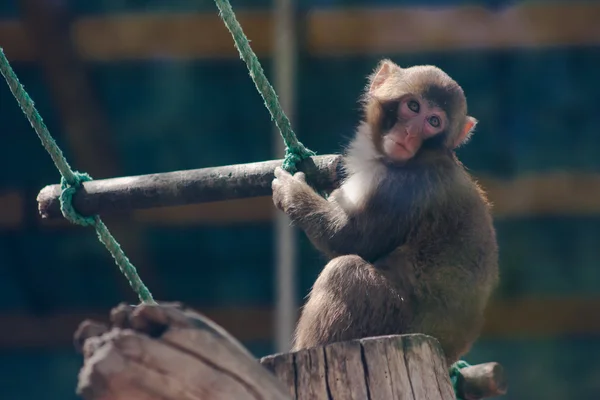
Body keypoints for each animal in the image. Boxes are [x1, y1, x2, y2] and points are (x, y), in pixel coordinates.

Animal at [270, 59, 496, 366]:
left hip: (389, 315)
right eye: (413, 107)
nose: (410, 133)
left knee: (344, 271)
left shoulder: (403, 188)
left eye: (433, 122)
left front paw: (290, 190)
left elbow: (348, 239)